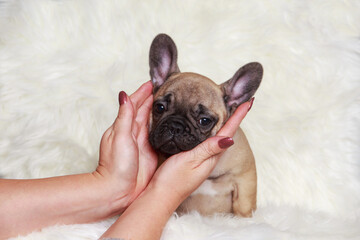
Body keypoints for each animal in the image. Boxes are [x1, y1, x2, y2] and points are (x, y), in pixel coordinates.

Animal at [148, 33, 262, 218]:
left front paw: (244, 220)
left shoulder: (245, 177)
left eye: (204, 121)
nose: (175, 126)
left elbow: (244, 204)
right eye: (159, 107)